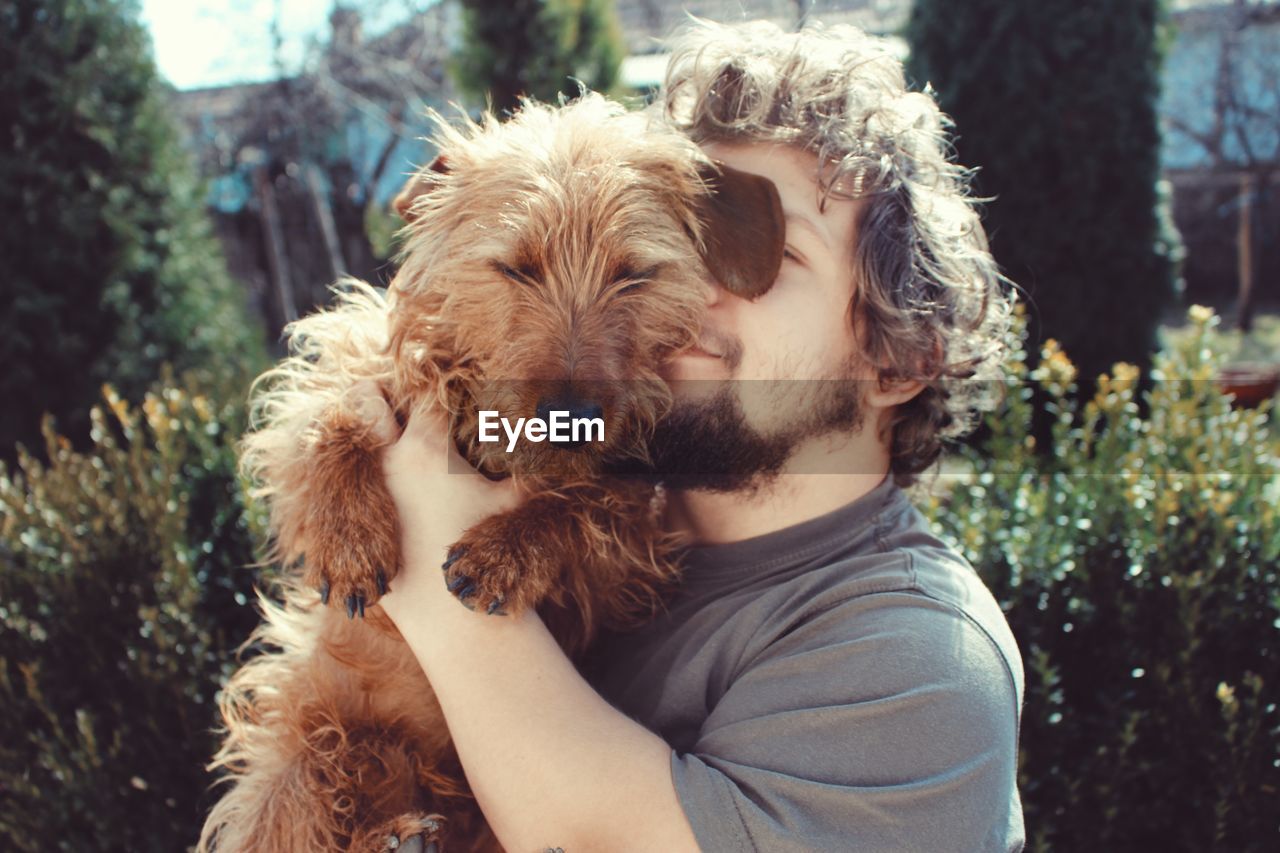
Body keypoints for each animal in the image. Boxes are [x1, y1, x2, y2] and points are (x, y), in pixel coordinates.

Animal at [197, 94, 778, 850]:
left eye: (633, 274)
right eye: (516, 268)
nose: (571, 416)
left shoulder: (634, 552)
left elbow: (591, 506)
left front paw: (510, 548)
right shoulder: (343, 370)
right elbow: (330, 415)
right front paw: (348, 534)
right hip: (304, 750)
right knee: (305, 805)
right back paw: (390, 832)